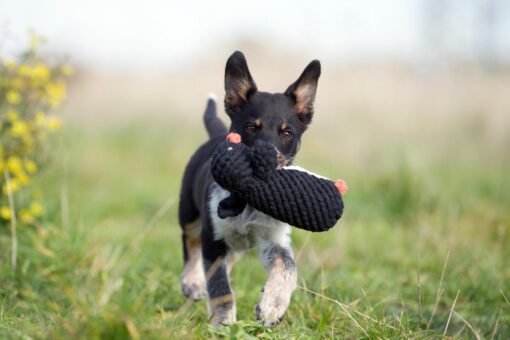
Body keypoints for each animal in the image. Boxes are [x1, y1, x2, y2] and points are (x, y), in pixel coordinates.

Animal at [179, 51, 320, 326]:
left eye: (287, 132)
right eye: (251, 127)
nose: (266, 160)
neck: (249, 203)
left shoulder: (273, 240)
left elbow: (288, 266)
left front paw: (273, 306)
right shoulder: (212, 236)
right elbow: (220, 286)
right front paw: (223, 322)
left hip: (234, 244)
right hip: (189, 212)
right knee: (190, 243)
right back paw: (192, 282)